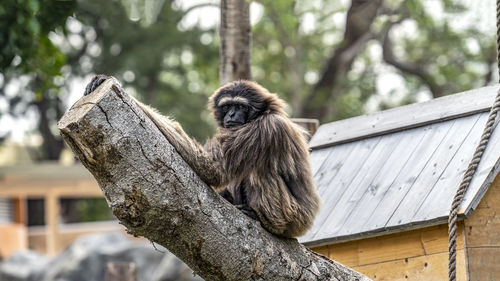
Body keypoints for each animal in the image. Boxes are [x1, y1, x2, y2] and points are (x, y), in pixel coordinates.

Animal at [84, 74, 320, 236]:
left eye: (240, 106)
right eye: (228, 106)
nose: (231, 115)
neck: (264, 114)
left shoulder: (266, 128)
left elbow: (213, 168)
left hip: (293, 216)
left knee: (259, 170)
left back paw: (267, 221)